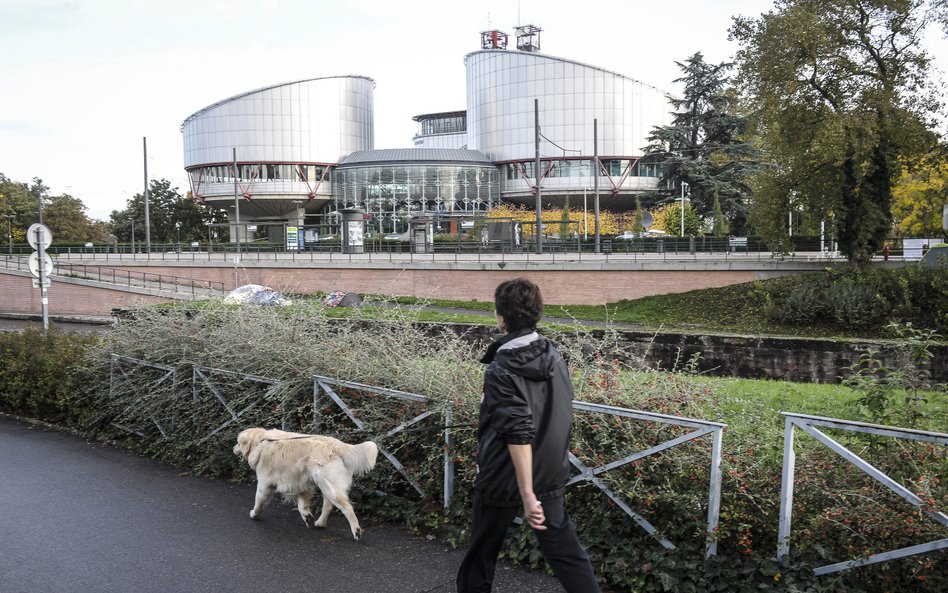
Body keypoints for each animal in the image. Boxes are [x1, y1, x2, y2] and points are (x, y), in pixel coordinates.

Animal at [232, 428, 378, 540]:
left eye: (238, 443)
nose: (233, 448)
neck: (260, 442)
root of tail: (337, 444)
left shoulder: (264, 485)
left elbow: (259, 502)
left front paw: (254, 514)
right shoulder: (300, 483)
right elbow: (302, 504)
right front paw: (307, 516)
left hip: (328, 485)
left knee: (347, 508)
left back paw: (356, 531)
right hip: (326, 485)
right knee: (328, 505)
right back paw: (320, 523)